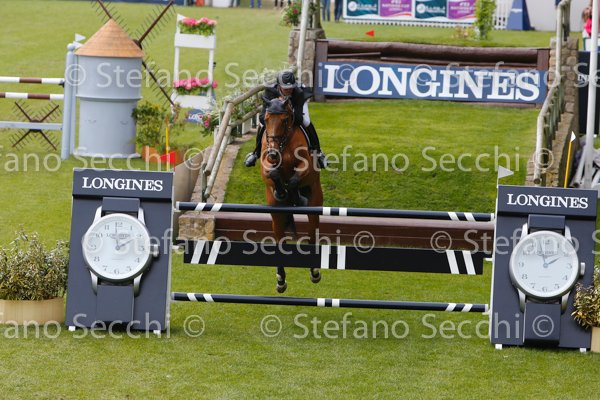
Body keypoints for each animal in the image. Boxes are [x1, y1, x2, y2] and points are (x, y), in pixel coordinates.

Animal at [260, 96, 324, 293]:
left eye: (285, 120)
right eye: (266, 120)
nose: (273, 152)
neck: (283, 143)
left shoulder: (305, 164)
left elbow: (295, 179)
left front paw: (296, 196)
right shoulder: (266, 163)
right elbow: (273, 173)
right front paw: (281, 191)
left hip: (315, 203)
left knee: (312, 235)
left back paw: (315, 272)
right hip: (275, 214)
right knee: (280, 240)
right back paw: (280, 280)